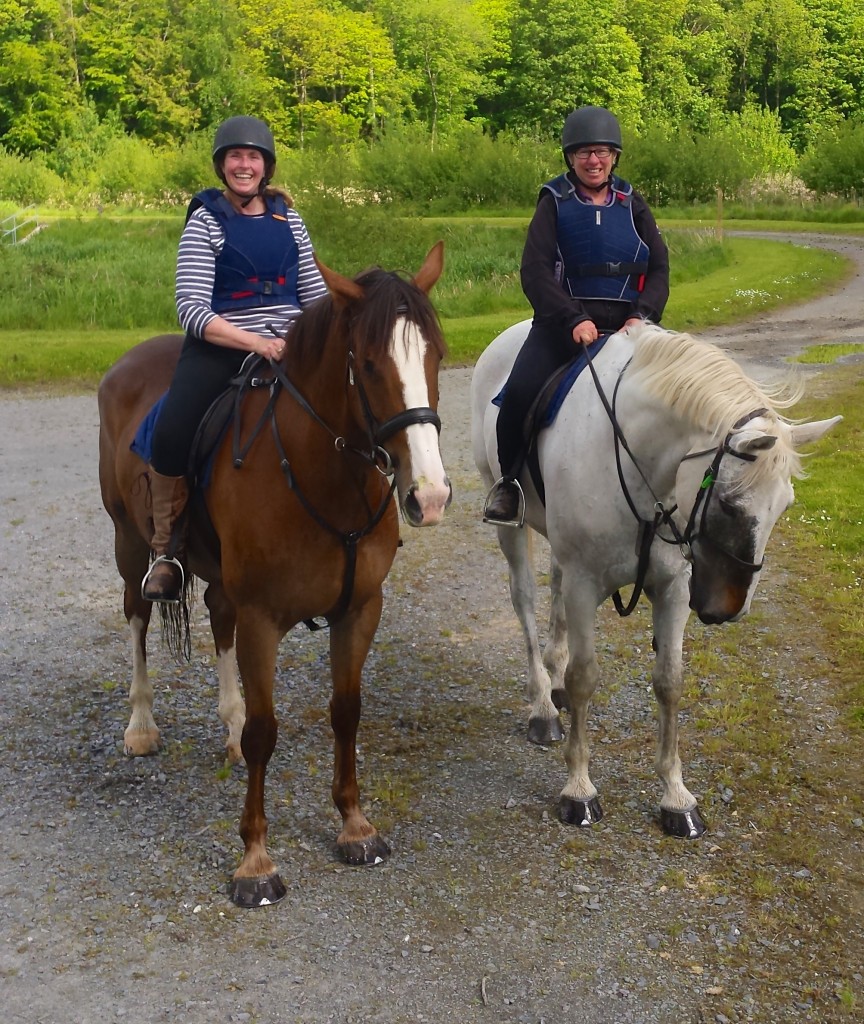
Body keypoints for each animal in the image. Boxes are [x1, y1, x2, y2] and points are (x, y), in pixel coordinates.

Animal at [99, 243, 452, 909]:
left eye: (436, 356)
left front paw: (354, 824)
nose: (430, 495)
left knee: (217, 620)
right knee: (137, 617)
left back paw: (228, 729)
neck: (321, 474)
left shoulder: (359, 609)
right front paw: (255, 862)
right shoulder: (264, 617)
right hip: (130, 545)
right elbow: (267, 731)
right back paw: (141, 725)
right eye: (369, 365)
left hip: (219, 578)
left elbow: (346, 711)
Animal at [468, 323, 839, 835]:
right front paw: (579, 790)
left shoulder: (675, 588)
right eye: (729, 504)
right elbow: (585, 678)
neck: (639, 464)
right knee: (524, 599)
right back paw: (542, 704)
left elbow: (669, 681)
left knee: (554, 588)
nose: (729, 610)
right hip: (511, 522)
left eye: (785, 507)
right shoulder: (586, 585)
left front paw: (676, 796)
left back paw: (553, 678)